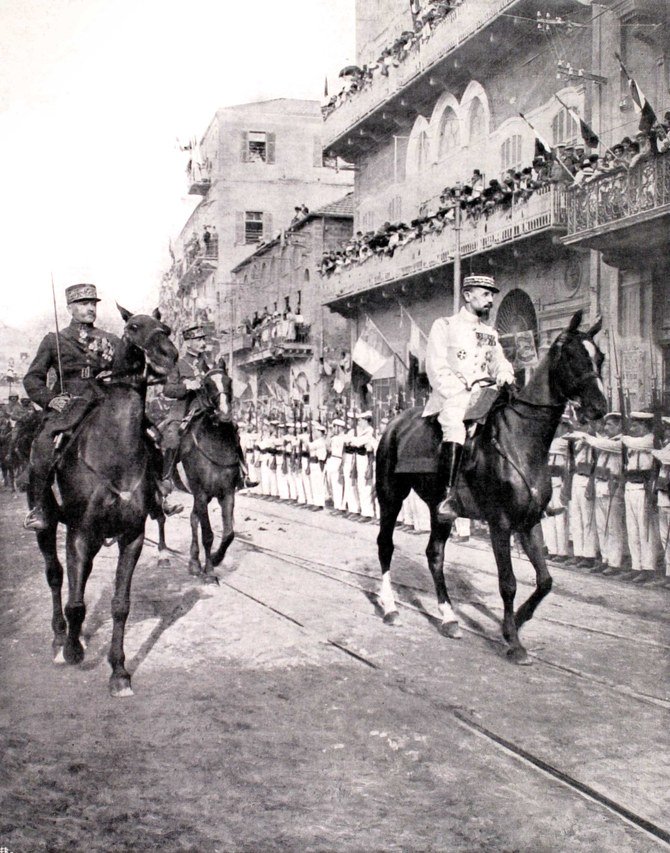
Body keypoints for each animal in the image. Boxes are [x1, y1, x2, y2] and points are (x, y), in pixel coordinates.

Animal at [35, 310, 178, 696]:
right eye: (132, 327)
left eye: (165, 329)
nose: (168, 357)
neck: (114, 449)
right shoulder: (79, 534)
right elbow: (76, 603)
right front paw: (72, 650)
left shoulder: (132, 536)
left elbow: (119, 605)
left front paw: (119, 672)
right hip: (49, 526)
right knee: (56, 576)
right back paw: (60, 639)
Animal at [178, 362, 242, 584]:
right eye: (206, 384)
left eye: (229, 381)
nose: (224, 414)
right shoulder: (201, 493)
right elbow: (208, 535)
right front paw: (210, 572)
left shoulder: (227, 493)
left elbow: (229, 533)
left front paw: (214, 559)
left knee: (193, 518)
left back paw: (193, 562)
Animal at [376, 310, 612, 664]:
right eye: (571, 356)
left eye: (600, 357)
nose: (599, 407)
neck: (521, 439)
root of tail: (395, 423)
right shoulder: (500, 523)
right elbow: (508, 583)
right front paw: (513, 642)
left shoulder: (529, 523)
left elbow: (545, 580)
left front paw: (517, 620)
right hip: (390, 497)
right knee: (385, 546)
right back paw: (390, 608)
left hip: (438, 510)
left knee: (435, 554)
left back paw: (449, 619)